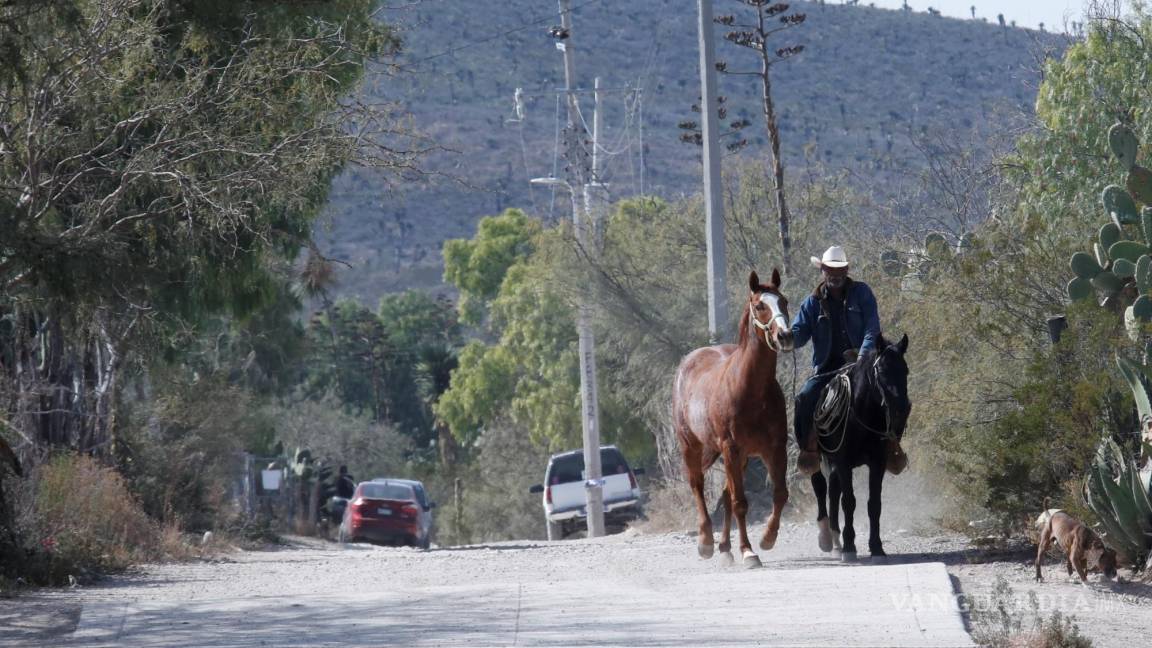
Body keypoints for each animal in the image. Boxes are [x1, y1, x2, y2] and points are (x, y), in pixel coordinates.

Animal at [672, 267, 797, 564]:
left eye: (784, 301)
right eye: (760, 305)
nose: (785, 336)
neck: (750, 390)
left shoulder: (773, 449)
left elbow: (780, 494)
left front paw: (767, 538)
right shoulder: (731, 448)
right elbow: (741, 503)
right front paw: (749, 552)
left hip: (739, 458)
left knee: (726, 495)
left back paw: (726, 548)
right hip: (691, 445)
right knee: (698, 484)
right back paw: (706, 542)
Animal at [811, 332, 907, 560]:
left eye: (905, 370)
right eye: (882, 370)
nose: (903, 408)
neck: (861, 414)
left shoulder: (877, 463)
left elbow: (874, 504)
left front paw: (877, 547)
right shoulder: (844, 462)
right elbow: (849, 502)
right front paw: (849, 547)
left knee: (833, 489)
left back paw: (835, 540)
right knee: (821, 486)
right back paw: (829, 539)